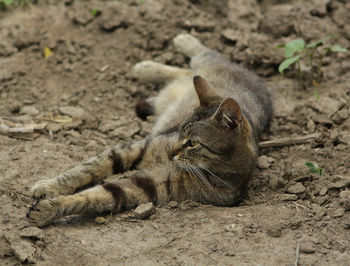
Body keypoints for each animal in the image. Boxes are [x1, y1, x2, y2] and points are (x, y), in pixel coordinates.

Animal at [27, 33, 274, 227]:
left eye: (193, 142)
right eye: (180, 131)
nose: (171, 151)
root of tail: (261, 83)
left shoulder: (149, 187)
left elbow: (98, 194)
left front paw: (48, 209)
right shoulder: (135, 148)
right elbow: (85, 169)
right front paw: (49, 186)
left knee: (185, 71)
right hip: (206, 66)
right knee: (201, 58)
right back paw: (168, 51)